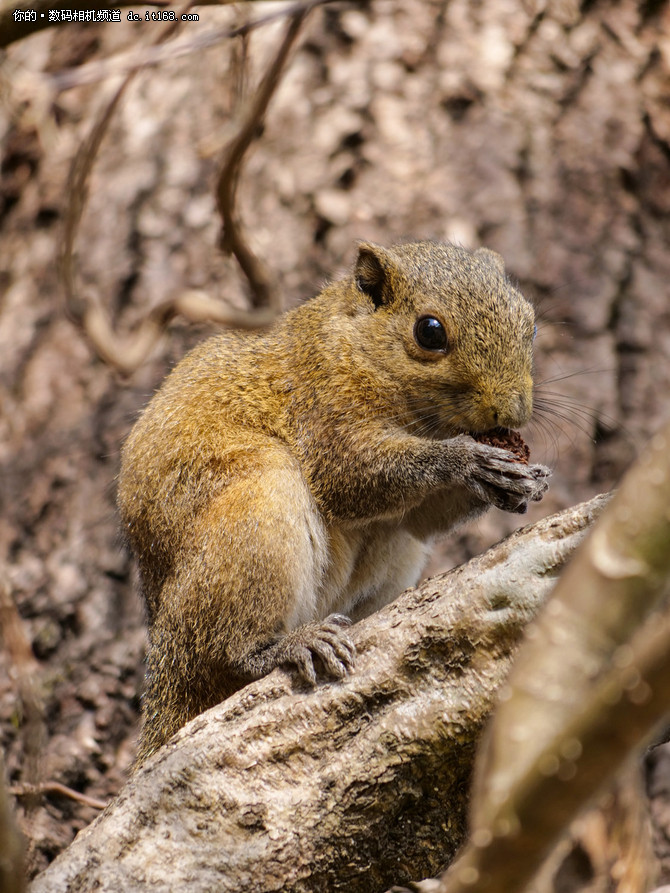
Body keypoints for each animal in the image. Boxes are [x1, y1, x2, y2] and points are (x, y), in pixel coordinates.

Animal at [119, 240, 552, 764]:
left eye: (531, 323)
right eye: (429, 332)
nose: (512, 411)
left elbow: (420, 517)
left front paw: (520, 480)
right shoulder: (322, 405)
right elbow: (350, 476)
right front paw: (468, 460)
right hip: (257, 512)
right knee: (224, 652)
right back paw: (285, 647)